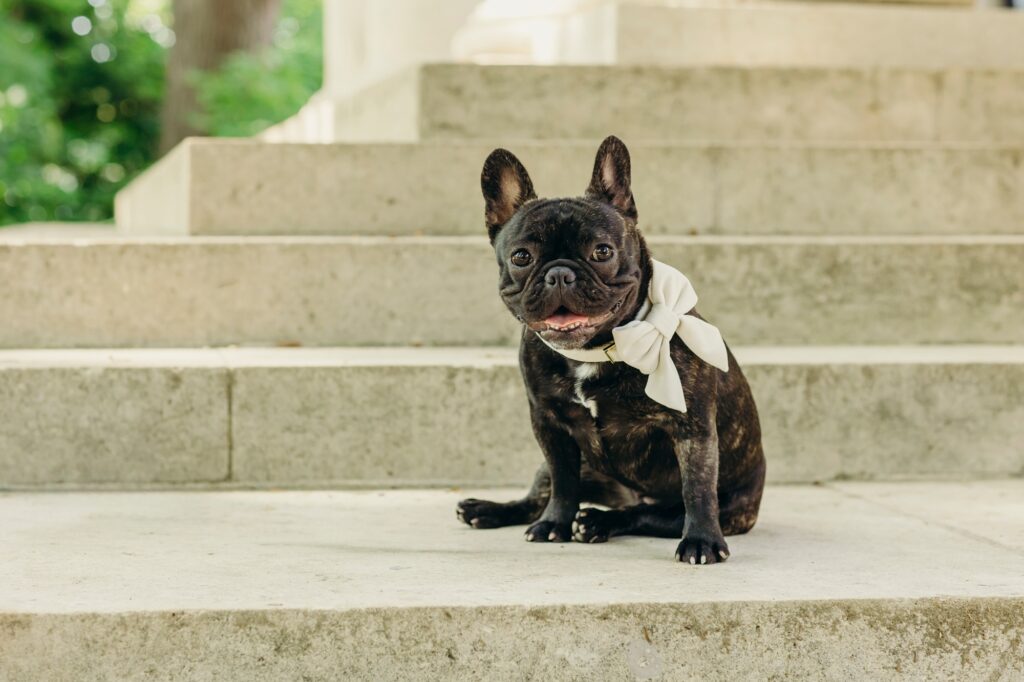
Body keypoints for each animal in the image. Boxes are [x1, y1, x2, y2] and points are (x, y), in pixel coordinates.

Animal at [458, 135, 770, 561]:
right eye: (521, 256)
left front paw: (703, 541)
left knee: (650, 515)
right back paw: (489, 510)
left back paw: (597, 522)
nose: (560, 273)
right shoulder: (548, 423)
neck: (597, 351)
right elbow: (563, 482)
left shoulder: (692, 428)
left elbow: (697, 487)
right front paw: (554, 524)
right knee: (541, 493)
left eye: (602, 251)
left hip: (730, 507)